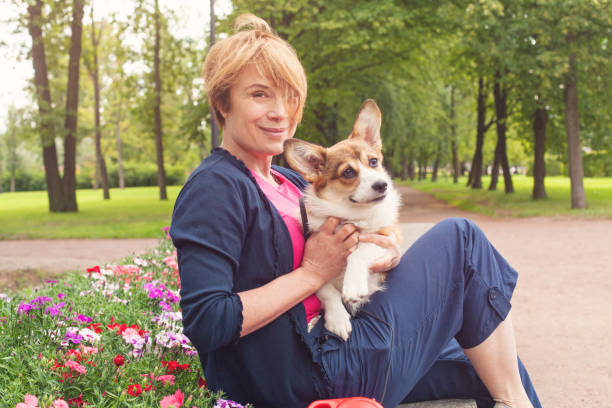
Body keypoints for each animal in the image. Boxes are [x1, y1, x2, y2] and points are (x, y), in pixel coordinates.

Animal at [284, 99, 400, 342]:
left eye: (373, 161)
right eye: (348, 172)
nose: (382, 185)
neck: (352, 216)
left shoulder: (386, 239)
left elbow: (360, 250)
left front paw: (353, 286)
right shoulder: (315, 267)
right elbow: (327, 291)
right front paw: (337, 319)